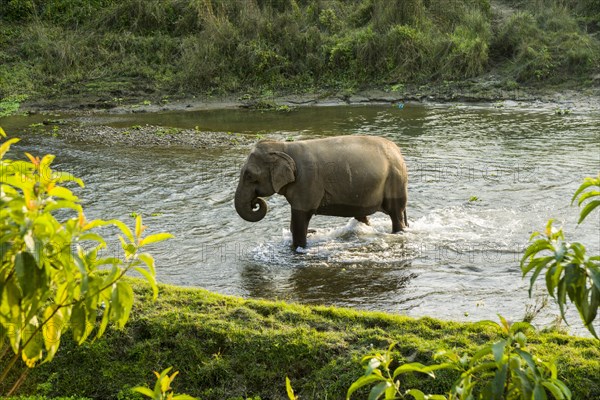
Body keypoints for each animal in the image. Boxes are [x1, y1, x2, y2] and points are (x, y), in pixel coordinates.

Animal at [234, 135, 408, 247]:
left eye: (249, 175)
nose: (255, 202)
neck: (283, 147)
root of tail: (398, 151)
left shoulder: (307, 182)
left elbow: (300, 218)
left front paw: (299, 248)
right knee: (362, 215)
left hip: (394, 180)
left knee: (395, 214)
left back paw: (398, 232)